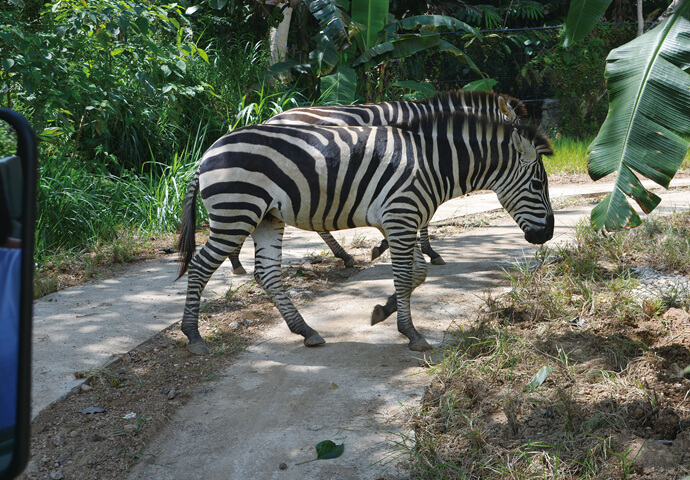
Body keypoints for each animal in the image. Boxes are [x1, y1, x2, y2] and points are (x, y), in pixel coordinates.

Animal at [179, 109, 552, 356]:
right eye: (537, 185)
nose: (547, 235)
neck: (433, 165)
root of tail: (208, 152)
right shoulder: (401, 217)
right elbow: (405, 275)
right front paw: (411, 332)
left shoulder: (401, 221)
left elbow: (418, 272)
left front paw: (383, 311)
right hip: (236, 213)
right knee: (199, 267)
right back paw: (193, 336)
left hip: (266, 218)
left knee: (267, 274)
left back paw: (306, 331)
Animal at [223, 89, 524, 274]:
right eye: (518, 133)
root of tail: (272, 118)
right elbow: (423, 217)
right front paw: (423, 251)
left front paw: (391, 246)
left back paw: (236, 260)